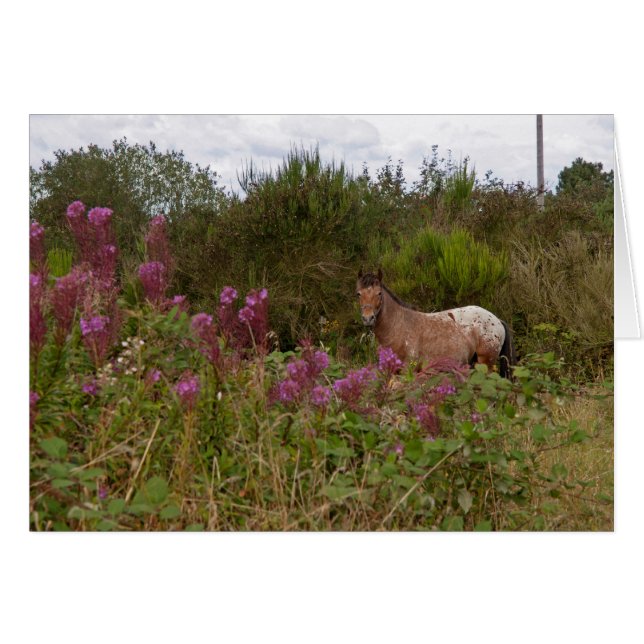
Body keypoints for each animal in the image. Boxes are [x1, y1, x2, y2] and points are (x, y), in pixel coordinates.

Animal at [356, 269, 516, 378]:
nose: (368, 318)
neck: (398, 326)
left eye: (379, 293)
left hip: (485, 363)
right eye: (358, 293)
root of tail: (497, 320)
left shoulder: (408, 370)